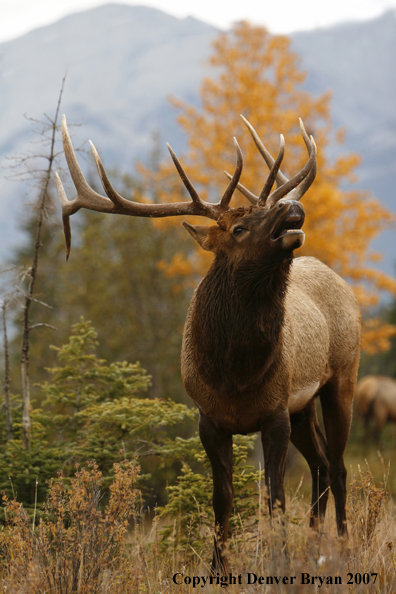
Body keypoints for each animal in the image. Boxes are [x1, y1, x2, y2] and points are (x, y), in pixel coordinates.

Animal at [55, 113, 362, 572]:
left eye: (265, 211)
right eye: (238, 227)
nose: (290, 206)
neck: (235, 373)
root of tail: (340, 281)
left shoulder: (275, 412)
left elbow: (274, 497)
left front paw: (278, 561)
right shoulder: (210, 418)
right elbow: (223, 497)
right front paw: (219, 568)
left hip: (342, 377)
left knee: (339, 466)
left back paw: (341, 548)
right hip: (304, 406)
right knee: (323, 464)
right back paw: (315, 547)